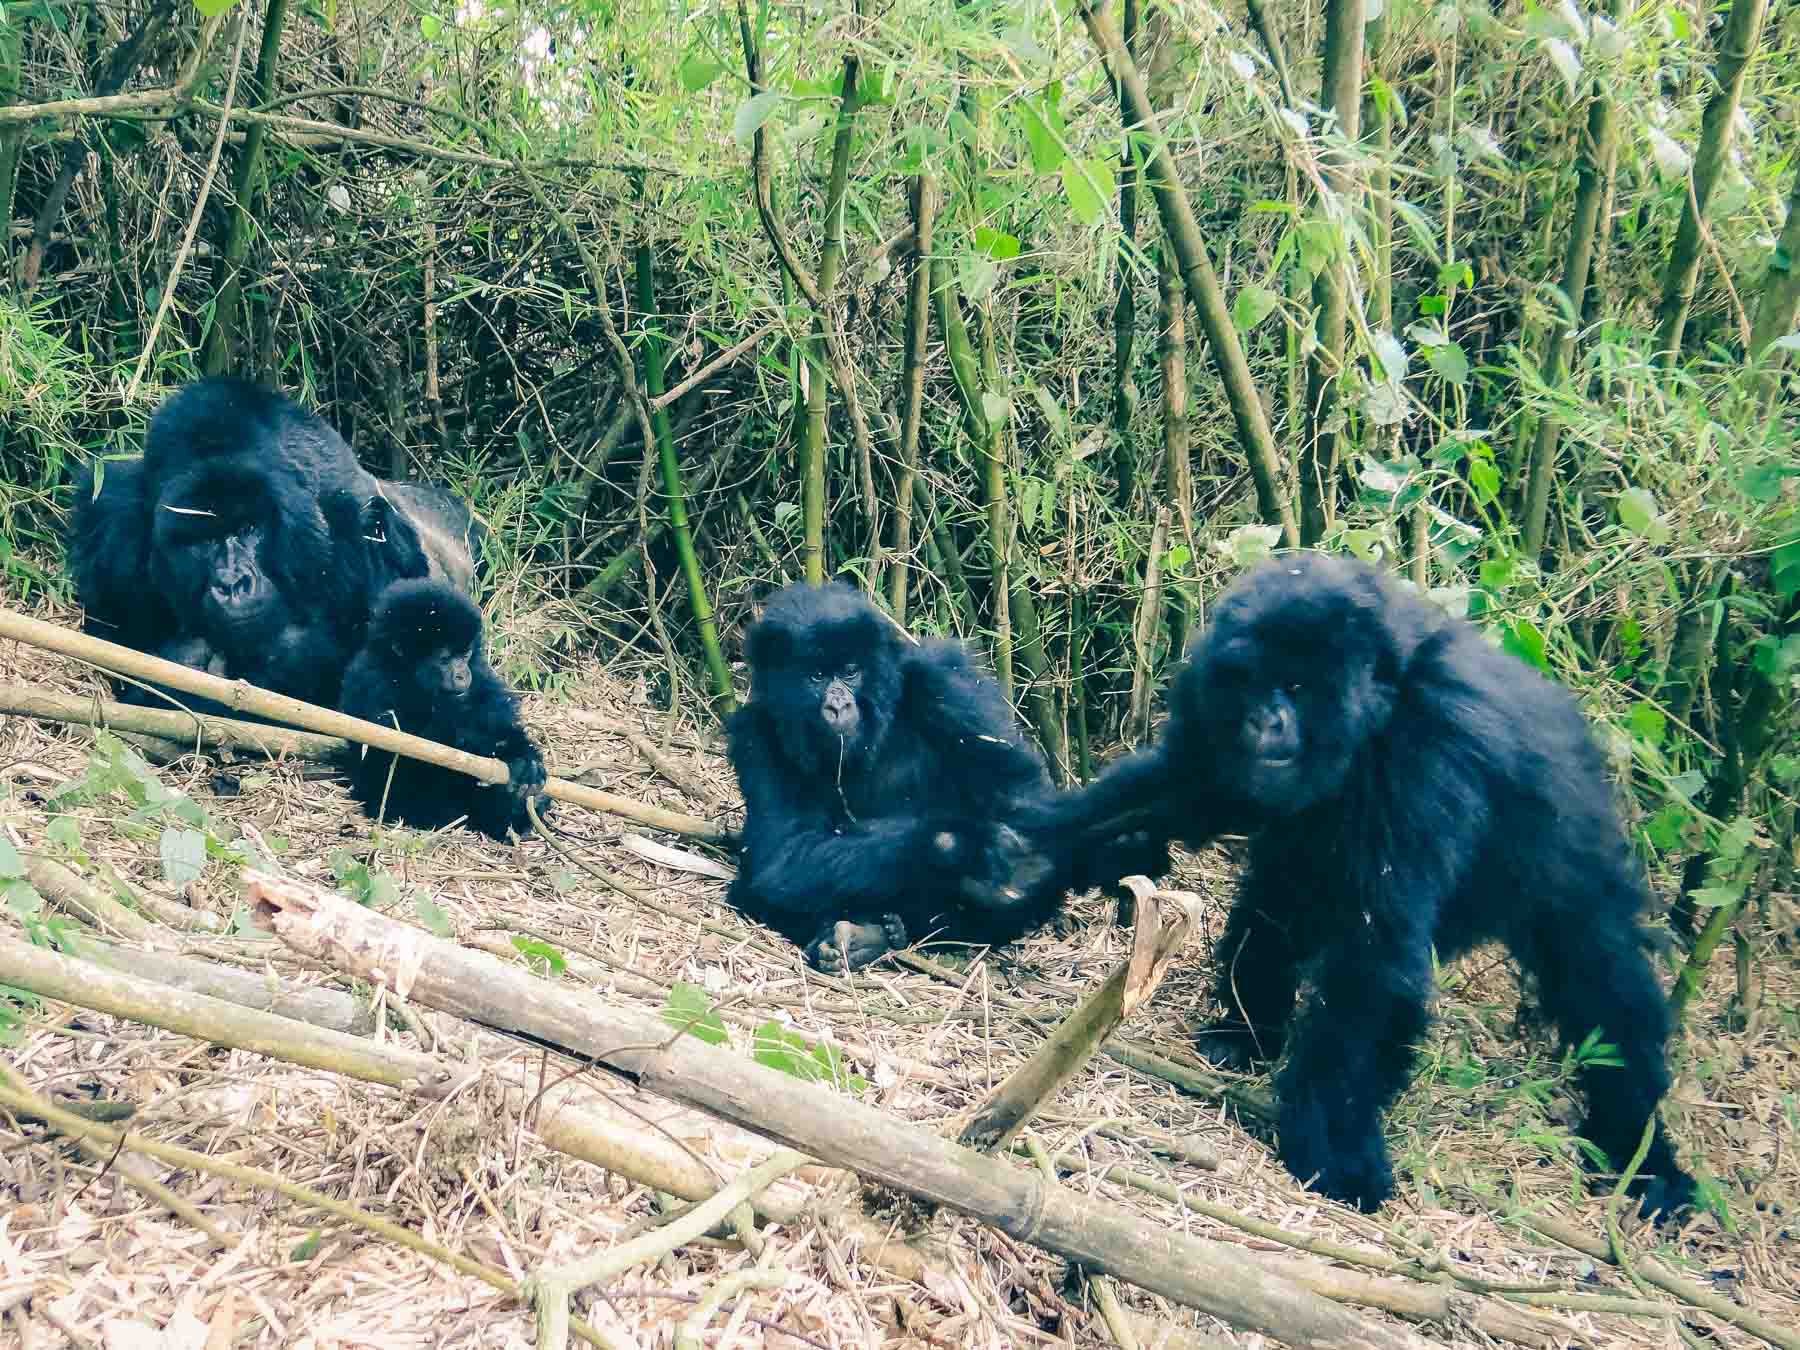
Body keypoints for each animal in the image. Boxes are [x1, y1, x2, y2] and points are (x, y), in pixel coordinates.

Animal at [336, 583, 547, 842]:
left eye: (465, 654)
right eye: (445, 659)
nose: (462, 675)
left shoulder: (479, 672)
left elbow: (495, 718)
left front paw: (521, 753)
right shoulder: (374, 680)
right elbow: (412, 748)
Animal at [720, 583, 1152, 972]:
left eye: (850, 671)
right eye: (816, 676)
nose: (838, 704)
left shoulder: (944, 680)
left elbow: (1021, 796)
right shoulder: (754, 731)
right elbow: (780, 857)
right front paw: (960, 842)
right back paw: (864, 937)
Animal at [1036, 554, 1692, 1224]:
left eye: (1296, 687)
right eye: (1248, 683)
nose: (1263, 720)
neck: (1378, 707)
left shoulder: (1426, 749)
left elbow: (1371, 957)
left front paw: (1337, 1146)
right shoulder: (1205, 694)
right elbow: (1183, 789)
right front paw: (1035, 845)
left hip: (1569, 861)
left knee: (1603, 981)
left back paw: (1643, 1151)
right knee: (1278, 906)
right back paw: (1246, 1032)